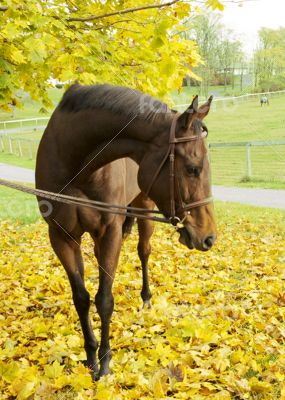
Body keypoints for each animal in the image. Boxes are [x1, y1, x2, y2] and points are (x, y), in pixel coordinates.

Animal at [35, 83, 215, 378]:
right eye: (193, 169)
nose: (209, 236)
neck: (76, 167)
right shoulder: (61, 237)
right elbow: (82, 298)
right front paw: (91, 357)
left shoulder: (110, 232)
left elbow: (104, 299)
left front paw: (105, 362)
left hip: (144, 210)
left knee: (144, 252)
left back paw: (146, 299)